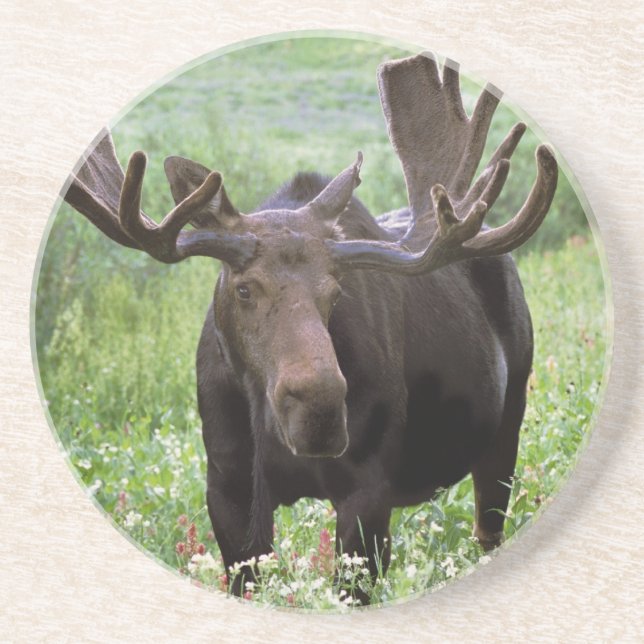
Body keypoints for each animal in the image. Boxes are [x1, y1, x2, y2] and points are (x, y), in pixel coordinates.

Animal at [62, 52, 557, 603]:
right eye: (244, 289)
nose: (320, 408)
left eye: (336, 292)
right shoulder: (228, 488)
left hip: (506, 430)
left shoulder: (367, 489)